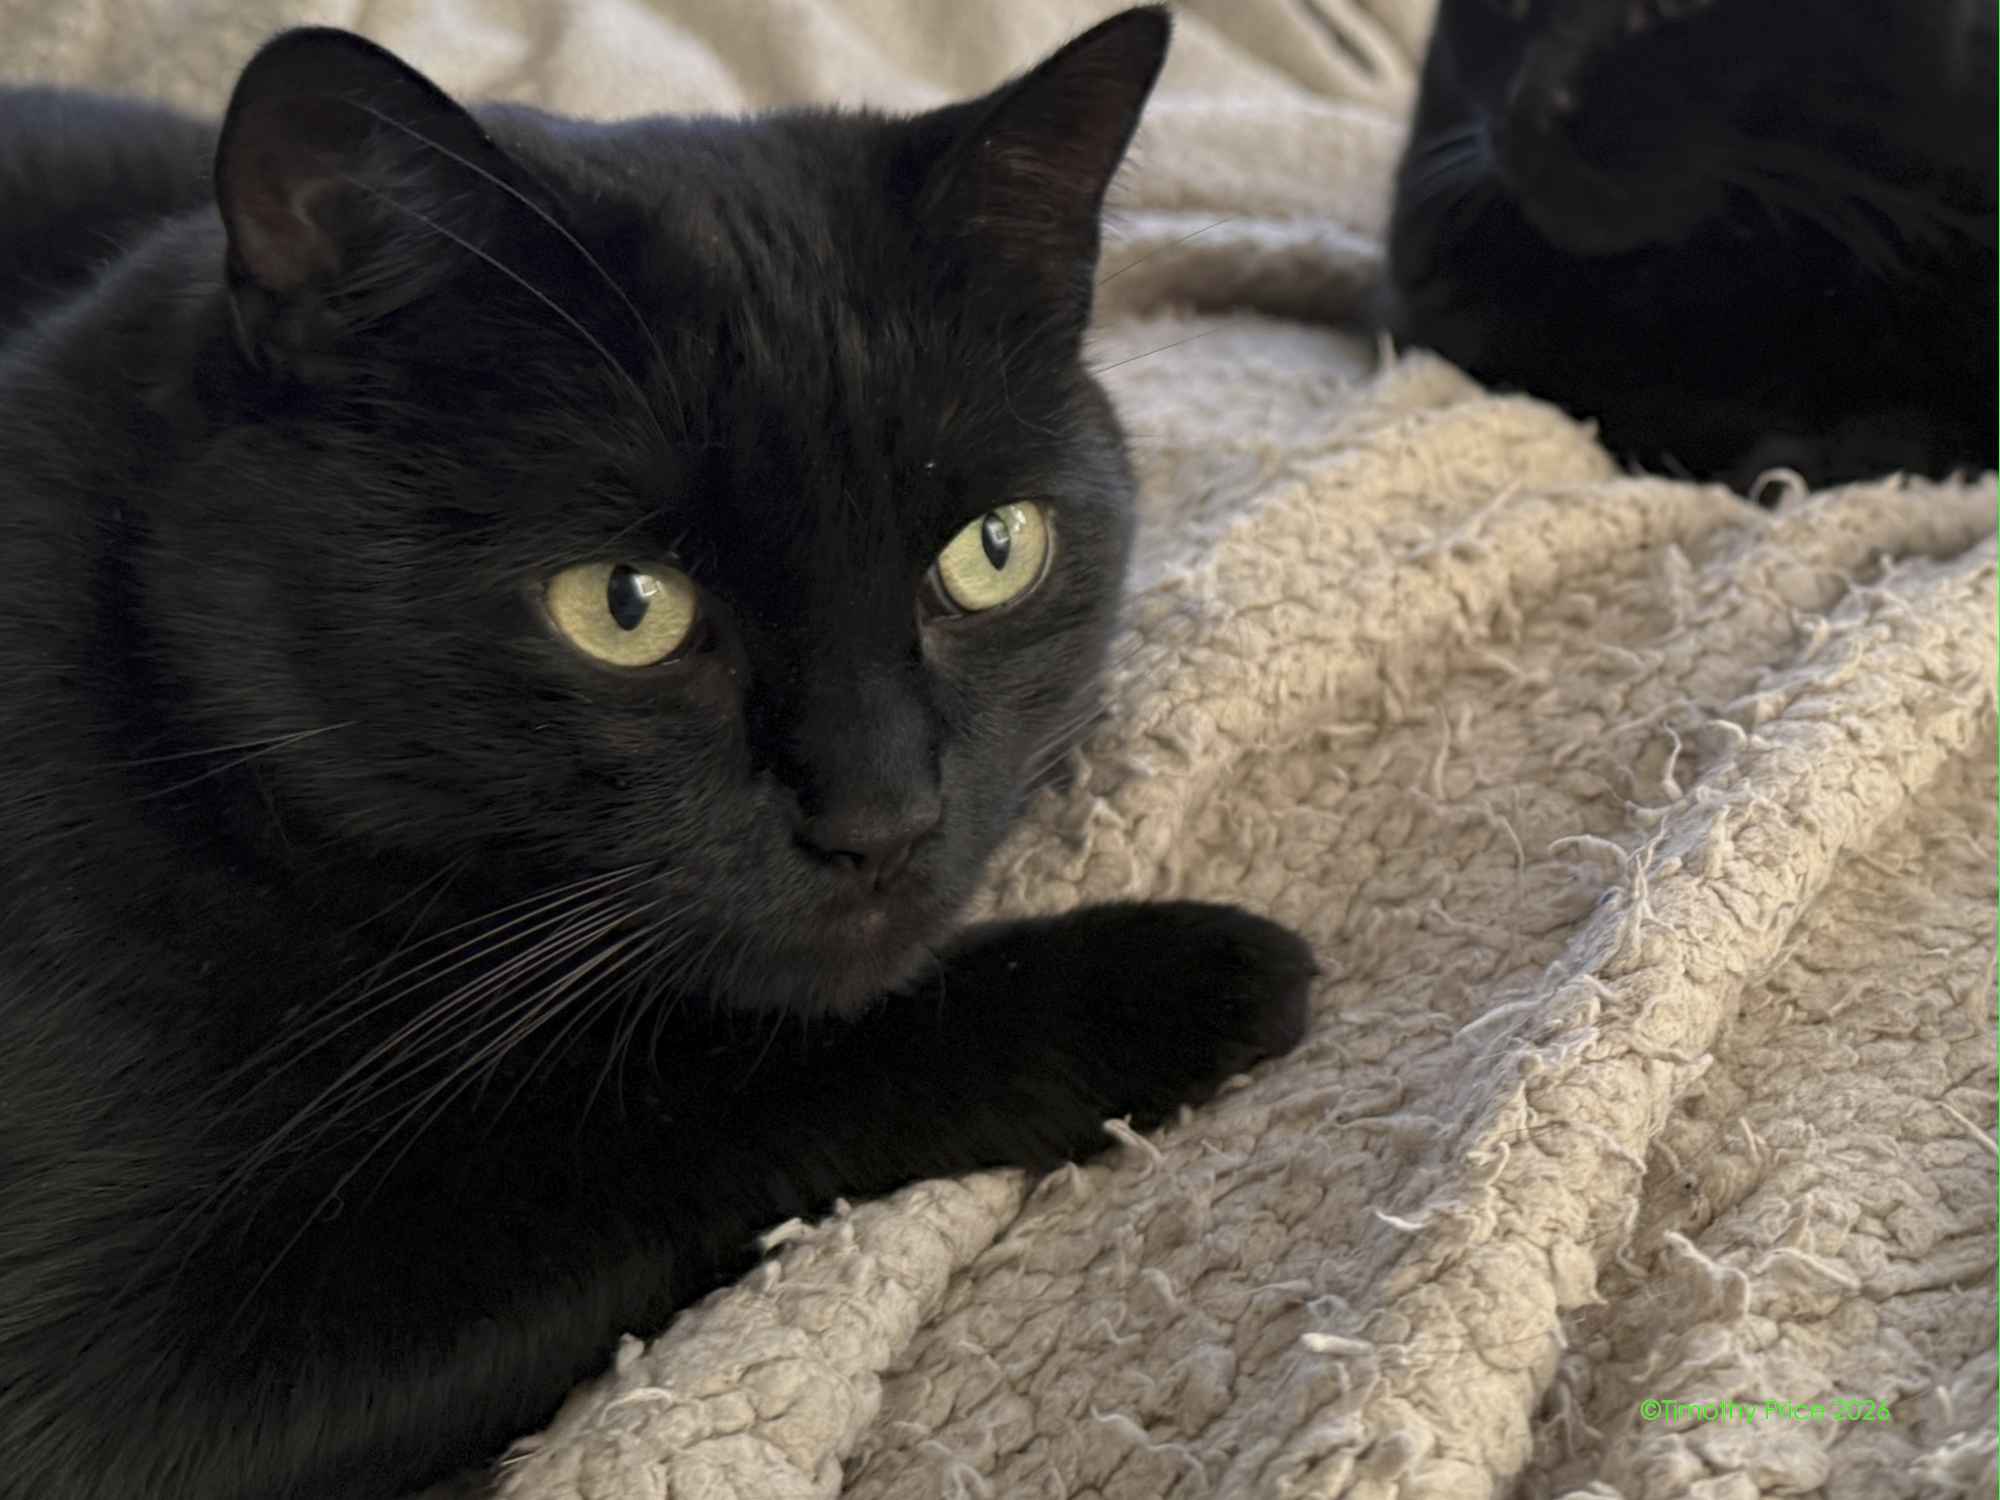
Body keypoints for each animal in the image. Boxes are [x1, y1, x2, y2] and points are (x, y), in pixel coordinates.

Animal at [0, 11, 1318, 1498]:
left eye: (995, 550)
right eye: (623, 606)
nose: (881, 814)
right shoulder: (102, 1383)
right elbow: (669, 1101)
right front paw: (1176, 977)